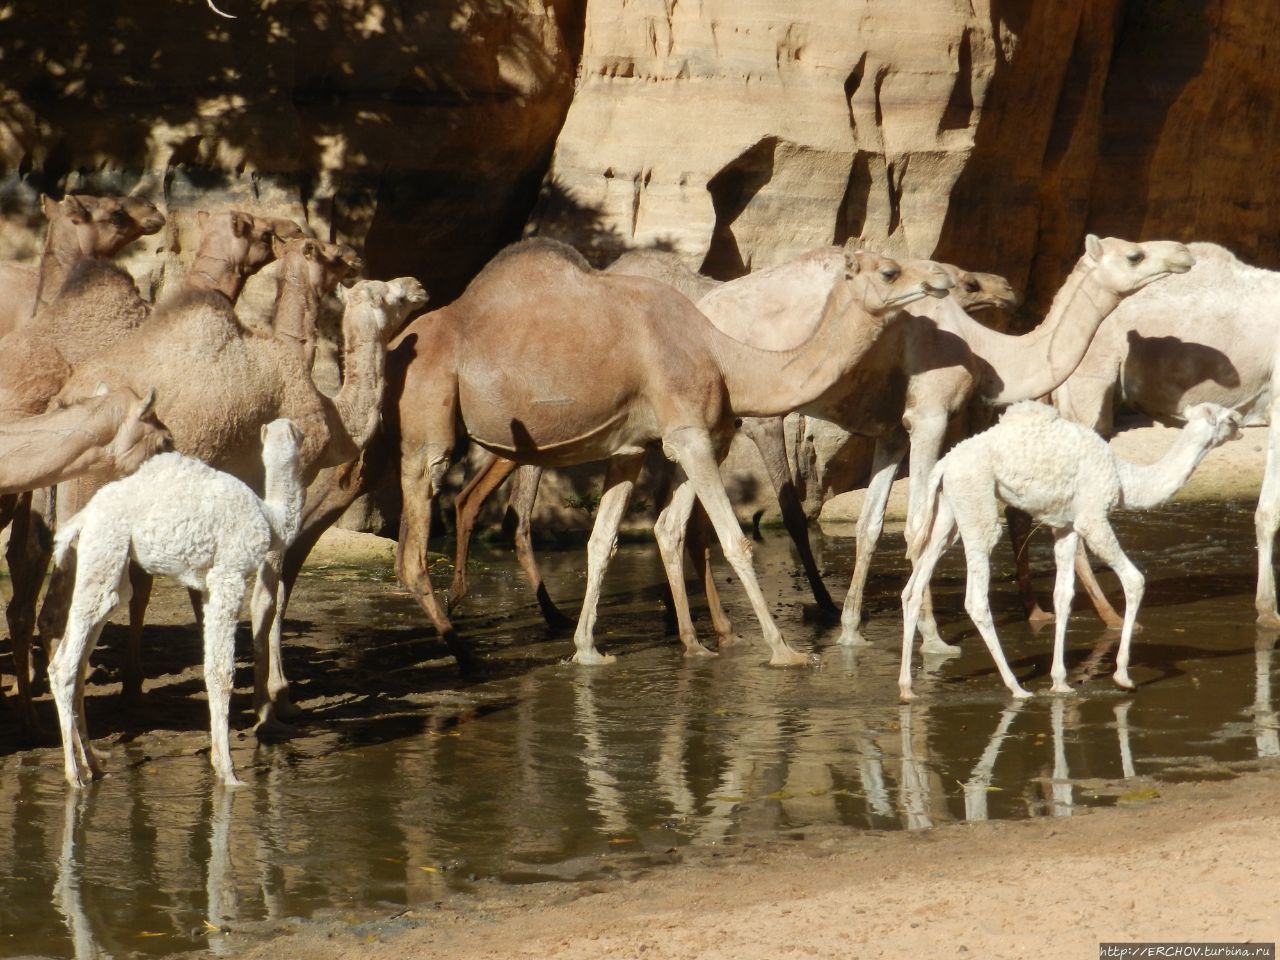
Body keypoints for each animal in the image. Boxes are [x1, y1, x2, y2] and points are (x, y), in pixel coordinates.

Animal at [46, 419, 305, 788]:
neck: (271, 519)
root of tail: (83, 519)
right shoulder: (229, 574)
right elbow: (222, 671)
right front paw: (229, 773)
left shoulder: (211, 586)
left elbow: (211, 667)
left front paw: (218, 762)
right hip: (105, 548)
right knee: (65, 665)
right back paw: (75, 776)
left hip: (108, 564)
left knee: (81, 658)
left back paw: (93, 765)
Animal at [384, 239, 947, 670]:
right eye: (890, 269)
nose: (942, 277)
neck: (727, 357)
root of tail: (400, 341)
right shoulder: (690, 437)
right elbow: (735, 541)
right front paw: (785, 651)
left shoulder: (642, 445)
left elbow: (611, 541)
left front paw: (592, 650)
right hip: (429, 426)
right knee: (414, 547)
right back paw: (465, 654)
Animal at [901, 399, 1239, 701]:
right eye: (1227, 418)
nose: (1240, 425)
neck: (1123, 478)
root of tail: (943, 465)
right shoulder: (1093, 518)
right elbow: (1135, 580)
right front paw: (1123, 677)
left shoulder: (1067, 526)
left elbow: (1063, 595)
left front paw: (1060, 682)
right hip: (975, 502)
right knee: (975, 597)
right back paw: (1016, 687)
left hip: (948, 511)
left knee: (914, 586)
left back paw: (907, 689)